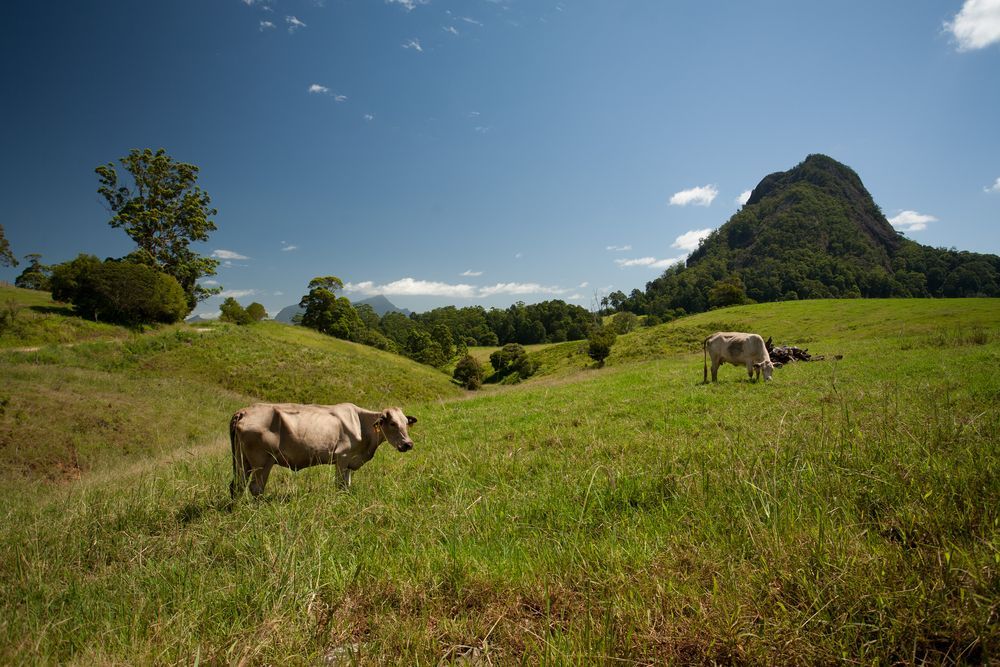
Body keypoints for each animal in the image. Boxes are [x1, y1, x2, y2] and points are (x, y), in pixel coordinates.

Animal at [229, 402, 417, 497]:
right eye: (392, 423)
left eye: (406, 423)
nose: (408, 444)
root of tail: (245, 410)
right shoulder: (342, 457)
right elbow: (340, 485)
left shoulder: (349, 462)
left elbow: (347, 485)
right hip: (262, 461)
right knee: (256, 488)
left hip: (242, 460)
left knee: (237, 486)